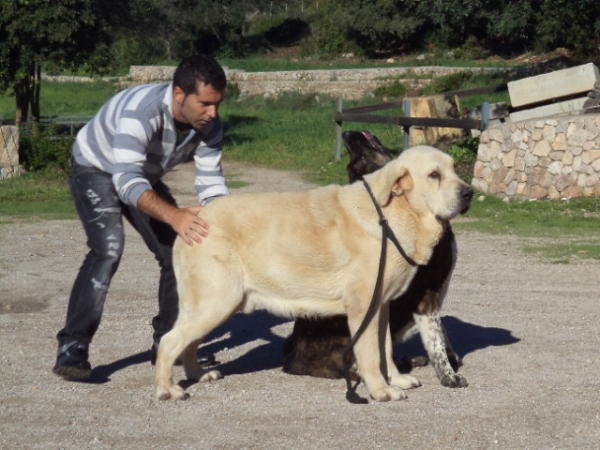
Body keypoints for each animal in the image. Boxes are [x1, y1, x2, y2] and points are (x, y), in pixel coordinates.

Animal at [155, 143, 474, 400]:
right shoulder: (363, 308)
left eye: (453, 169)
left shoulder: (382, 306)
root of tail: (195, 218)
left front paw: (396, 380)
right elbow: (371, 354)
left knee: (187, 343)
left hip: (216, 306)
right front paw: (381, 390)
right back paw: (168, 389)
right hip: (216, 302)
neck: (393, 213)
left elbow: (384, 348)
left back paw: (198, 375)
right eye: (434, 175)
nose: (469, 192)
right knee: (169, 342)